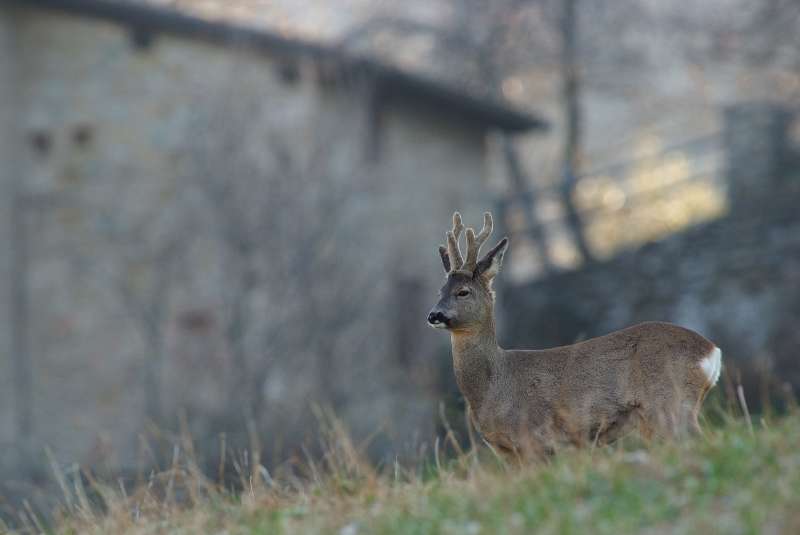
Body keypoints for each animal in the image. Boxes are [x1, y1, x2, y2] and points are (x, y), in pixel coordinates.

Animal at [428, 211, 720, 458]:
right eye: (440, 291)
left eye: (463, 291)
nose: (433, 315)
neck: (492, 387)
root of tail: (711, 352)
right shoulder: (507, 453)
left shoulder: (533, 438)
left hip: (670, 402)